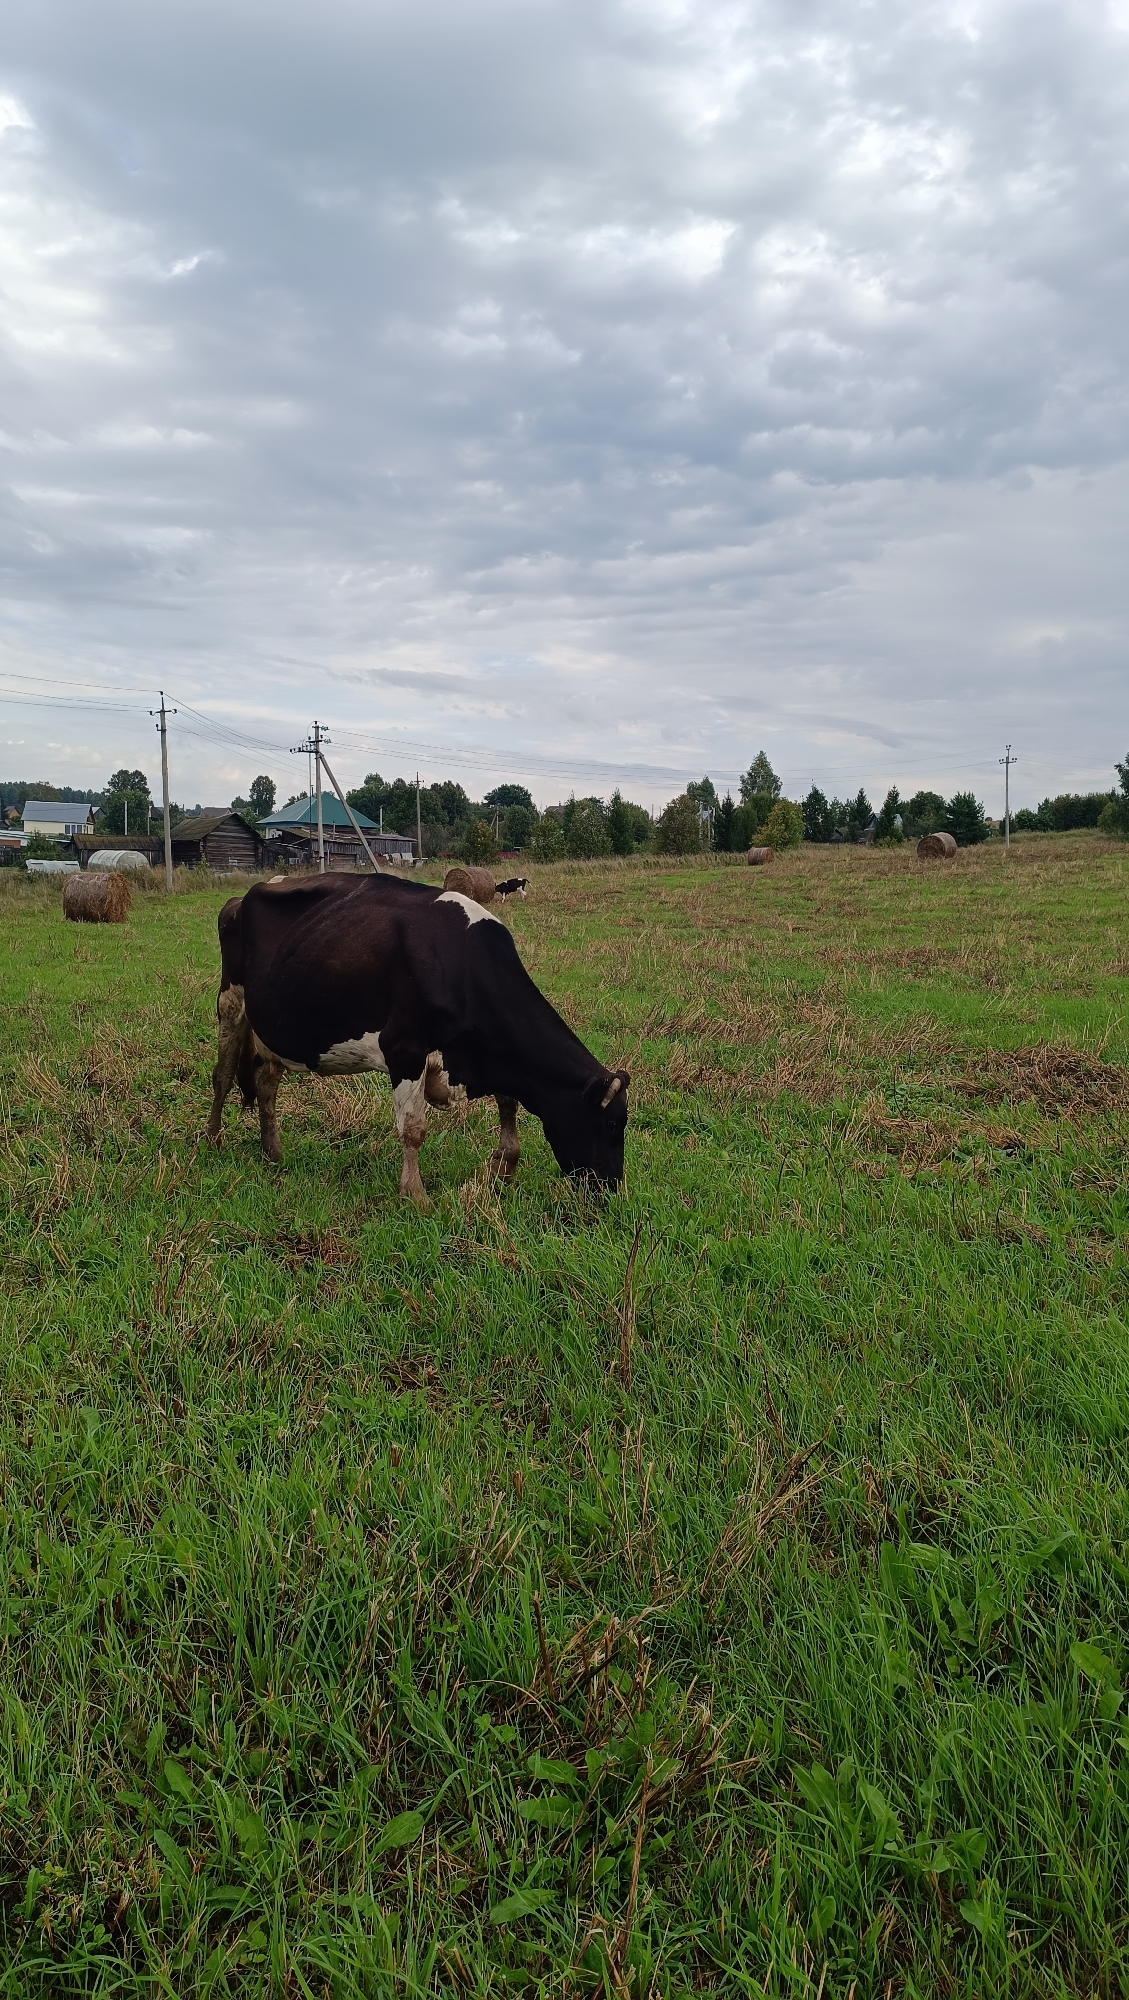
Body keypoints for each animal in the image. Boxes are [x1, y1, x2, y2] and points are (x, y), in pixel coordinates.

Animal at [205, 872, 628, 1201]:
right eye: (611, 1125)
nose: (610, 1190)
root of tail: (241, 897)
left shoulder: (490, 1055)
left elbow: (509, 1105)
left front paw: (503, 1168)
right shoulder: (404, 1050)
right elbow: (413, 1129)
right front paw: (416, 1195)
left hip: (272, 1029)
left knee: (265, 1082)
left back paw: (272, 1152)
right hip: (232, 1002)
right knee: (222, 1075)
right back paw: (213, 1140)